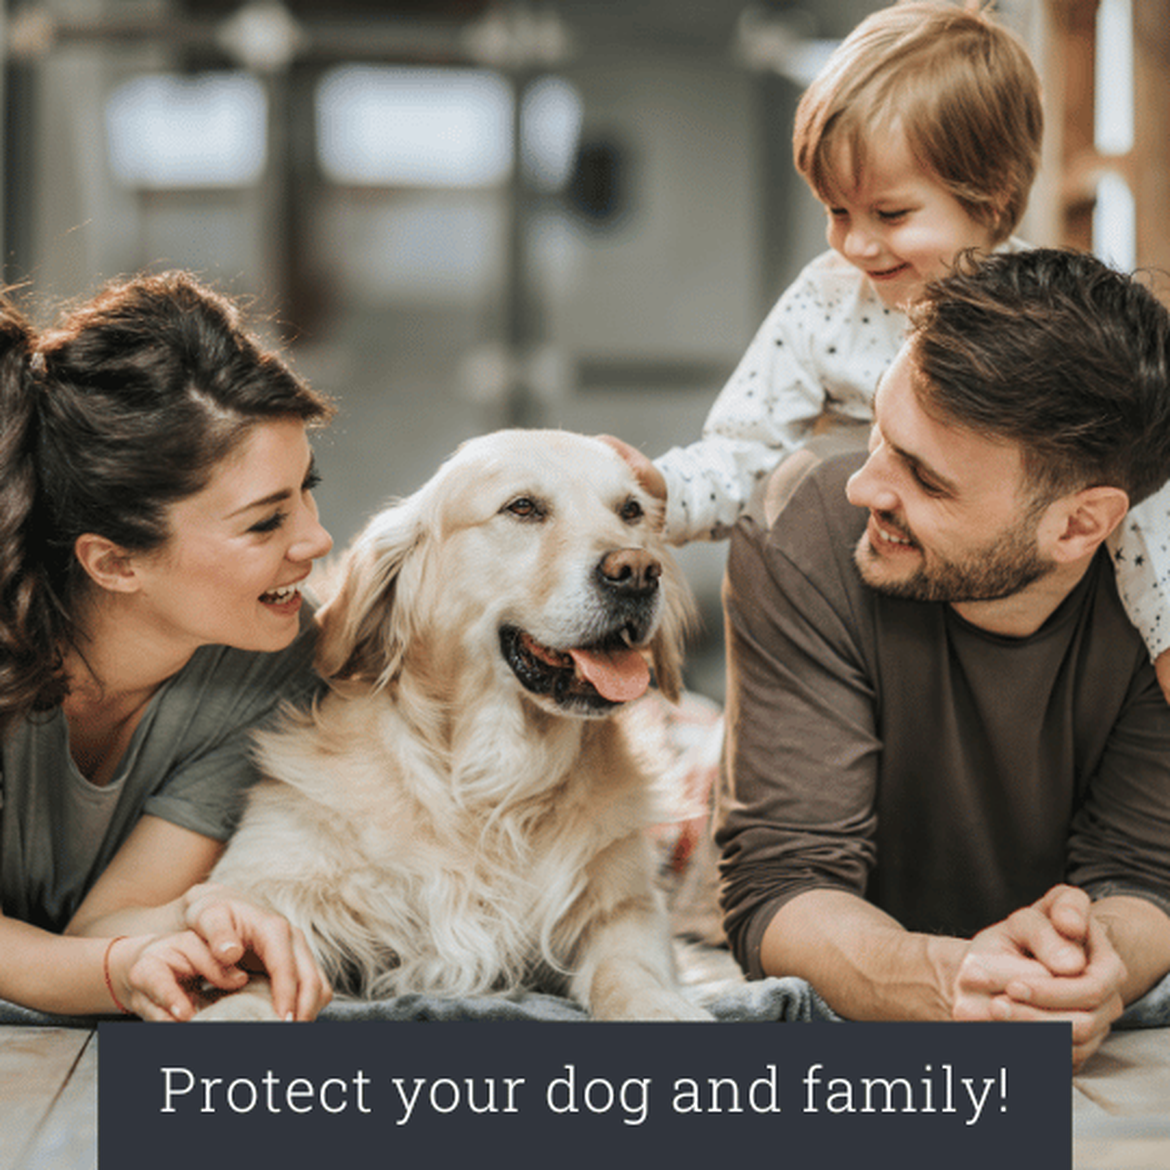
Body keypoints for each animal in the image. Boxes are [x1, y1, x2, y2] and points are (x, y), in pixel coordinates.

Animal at [200, 428, 706, 1015]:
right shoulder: (264, 888)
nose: (639, 572)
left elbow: (630, 970)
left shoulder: (626, 906)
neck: (490, 781)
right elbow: (249, 969)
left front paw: (659, 1006)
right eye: (522, 507)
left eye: (631, 511)